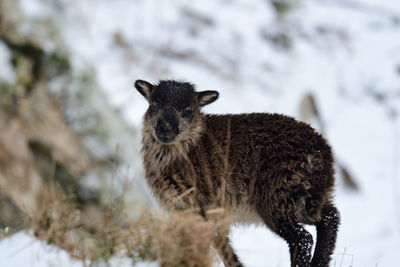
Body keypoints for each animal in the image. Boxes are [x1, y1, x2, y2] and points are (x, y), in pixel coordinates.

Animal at [136, 79, 340, 267]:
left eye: (188, 110)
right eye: (154, 105)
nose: (165, 128)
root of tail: (320, 153)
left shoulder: (205, 205)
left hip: (276, 197)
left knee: (302, 238)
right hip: (309, 198)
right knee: (330, 218)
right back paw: (320, 261)